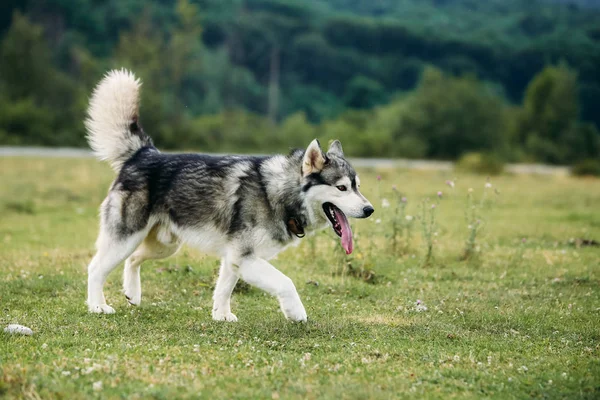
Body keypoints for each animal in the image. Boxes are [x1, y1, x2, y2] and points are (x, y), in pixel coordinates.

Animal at [84, 70, 376, 322]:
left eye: (358, 186)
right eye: (341, 188)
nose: (369, 210)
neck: (277, 192)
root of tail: (144, 153)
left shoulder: (234, 258)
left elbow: (224, 289)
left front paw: (221, 315)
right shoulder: (244, 257)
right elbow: (286, 282)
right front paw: (296, 313)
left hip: (164, 245)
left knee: (133, 259)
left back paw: (132, 293)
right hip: (126, 237)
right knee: (95, 268)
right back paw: (97, 305)